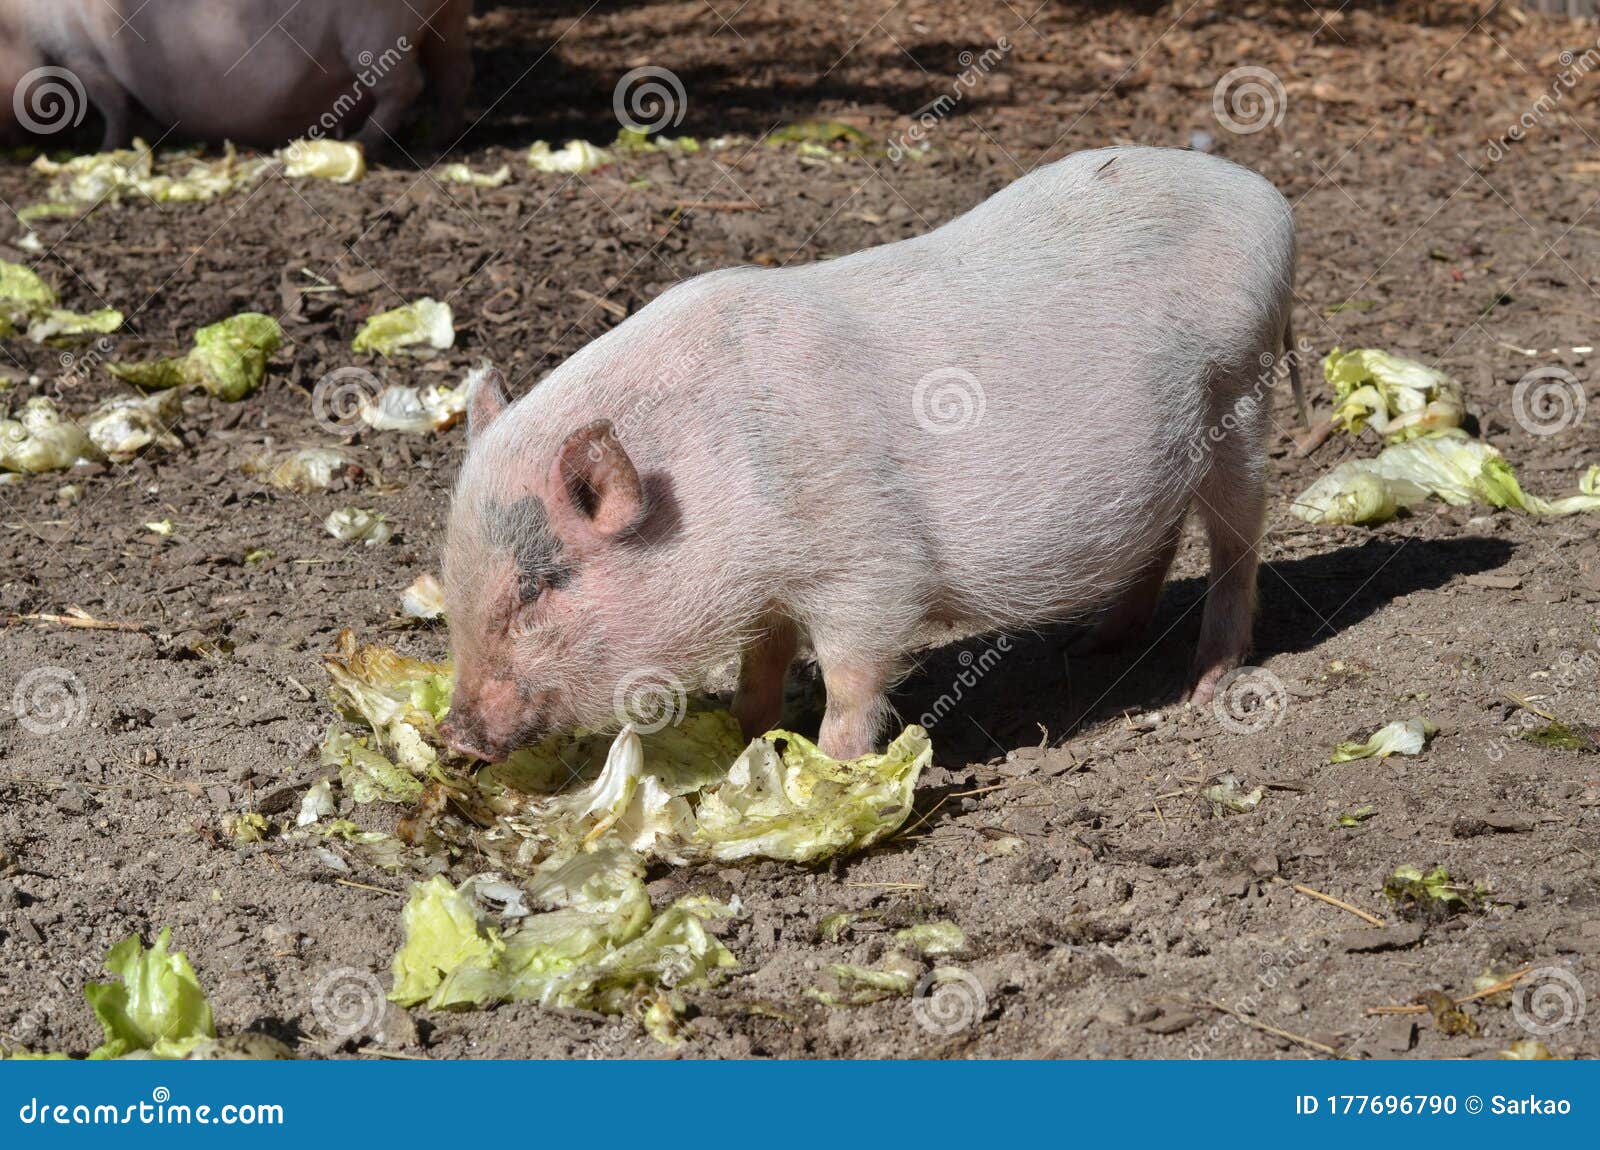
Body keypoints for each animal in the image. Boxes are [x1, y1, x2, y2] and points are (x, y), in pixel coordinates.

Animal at [0, 0, 470, 150]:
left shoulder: (78, 52)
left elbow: (111, 104)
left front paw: (103, 151)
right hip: (448, 18)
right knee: (453, 72)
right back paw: (437, 137)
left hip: (376, 32)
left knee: (408, 85)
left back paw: (361, 144)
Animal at [438, 148, 1299, 767]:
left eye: (537, 589)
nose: (453, 735)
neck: (712, 478)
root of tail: (1267, 195)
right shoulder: (772, 591)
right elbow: (761, 668)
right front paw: (745, 742)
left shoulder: (868, 568)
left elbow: (854, 678)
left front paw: (829, 774)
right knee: (1165, 529)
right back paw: (1095, 643)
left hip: (1241, 401)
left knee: (1238, 539)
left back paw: (1204, 687)